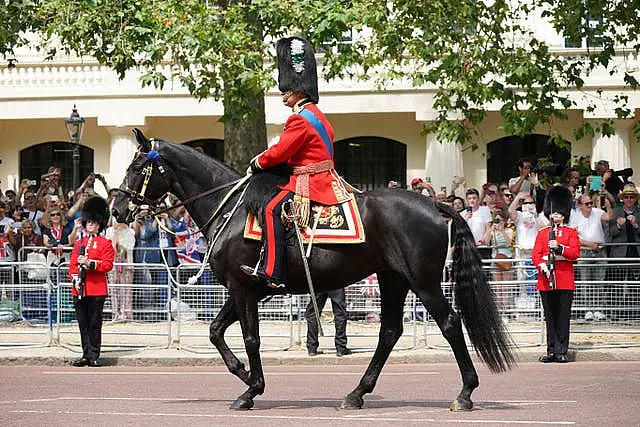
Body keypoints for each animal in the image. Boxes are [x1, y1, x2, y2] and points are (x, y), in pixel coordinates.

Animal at [112, 130, 516, 412]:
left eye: (136, 168)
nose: (116, 210)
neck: (229, 208)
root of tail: (436, 206)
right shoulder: (244, 288)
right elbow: (214, 331)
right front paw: (243, 374)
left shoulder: (243, 287)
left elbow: (250, 338)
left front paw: (251, 387)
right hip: (393, 279)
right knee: (389, 331)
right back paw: (357, 393)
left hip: (423, 281)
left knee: (448, 323)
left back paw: (465, 393)